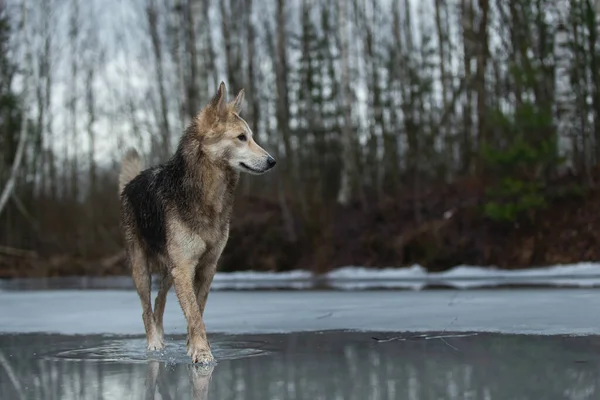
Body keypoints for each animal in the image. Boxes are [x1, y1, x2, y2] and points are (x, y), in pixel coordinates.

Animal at [118, 83, 276, 364]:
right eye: (241, 137)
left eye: (252, 136)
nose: (272, 161)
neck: (209, 197)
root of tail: (131, 182)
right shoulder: (184, 267)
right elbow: (193, 314)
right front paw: (202, 354)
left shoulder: (206, 267)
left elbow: (197, 310)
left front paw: (193, 348)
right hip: (142, 270)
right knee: (146, 309)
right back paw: (154, 344)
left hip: (169, 271)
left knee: (159, 301)